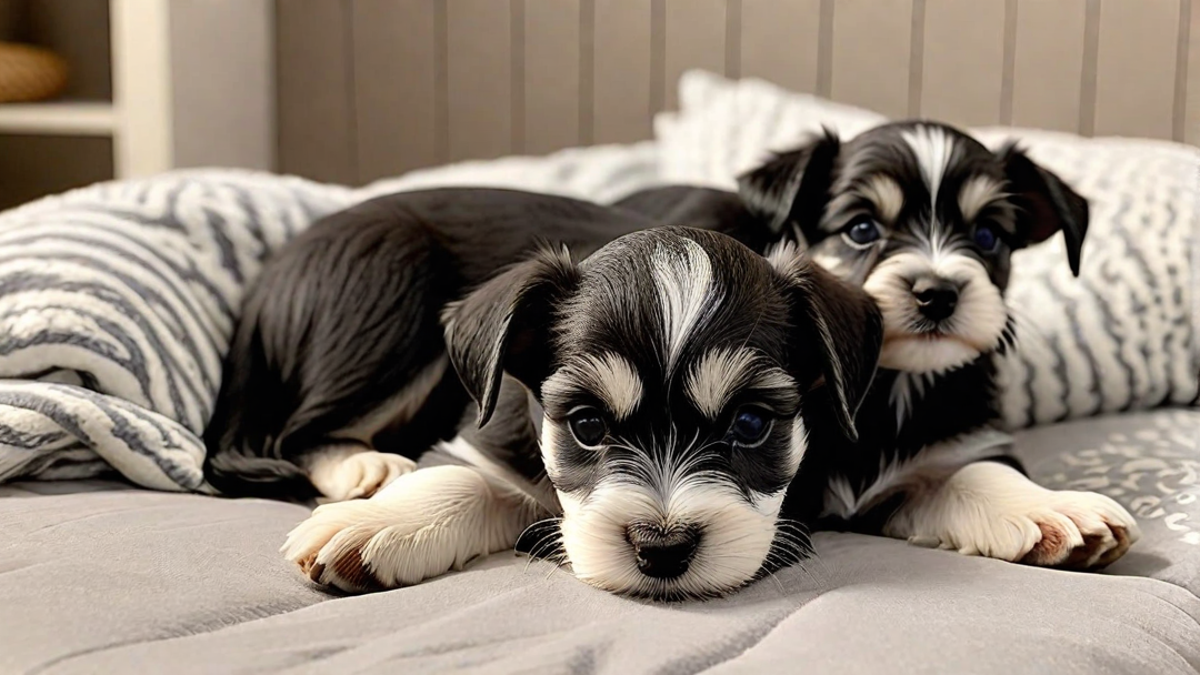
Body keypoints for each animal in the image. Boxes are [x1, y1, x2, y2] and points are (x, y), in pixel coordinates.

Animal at [280, 227, 883, 598]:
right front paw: (375, 522)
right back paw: (366, 468)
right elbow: (463, 475)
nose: (662, 549)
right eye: (587, 425)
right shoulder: (488, 446)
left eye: (751, 424)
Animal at [691, 119, 1137, 562]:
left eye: (987, 235)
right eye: (861, 229)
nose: (937, 294)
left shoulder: (943, 455)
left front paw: (1051, 506)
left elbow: (977, 471)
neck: (894, 386)